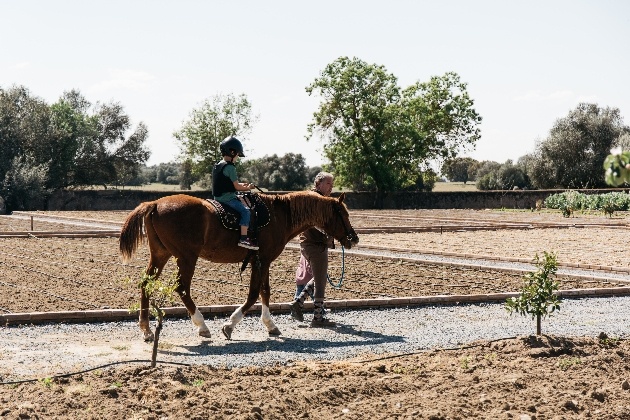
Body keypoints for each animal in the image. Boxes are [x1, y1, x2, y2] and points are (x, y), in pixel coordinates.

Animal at [118, 190, 356, 342]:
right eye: (343, 214)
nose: (354, 239)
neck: (279, 214)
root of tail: (155, 204)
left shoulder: (262, 261)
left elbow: (264, 292)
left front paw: (270, 325)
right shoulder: (262, 260)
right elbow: (254, 294)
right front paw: (230, 325)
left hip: (161, 255)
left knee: (145, 284)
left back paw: (146, 329)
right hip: (186, 258)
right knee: (182, 288)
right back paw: (202, 326)